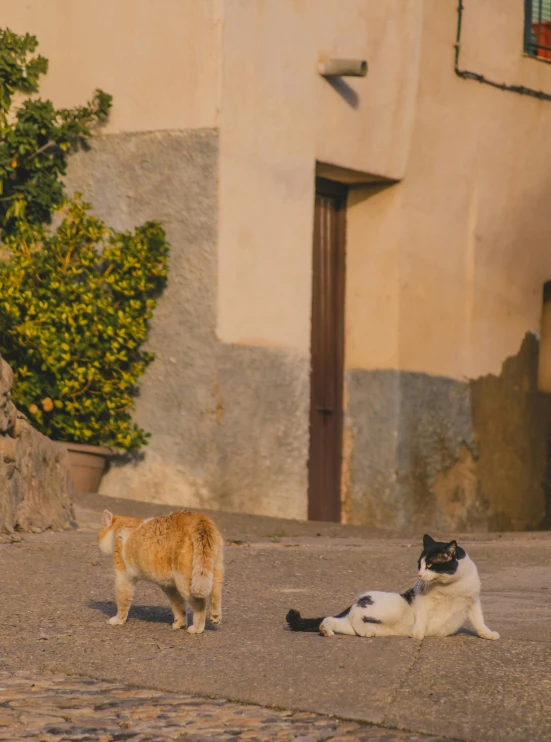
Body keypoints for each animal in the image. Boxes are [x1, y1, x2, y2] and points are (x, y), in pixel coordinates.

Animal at [288, 536, 500, 644]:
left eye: (430, 565)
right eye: (419, 564)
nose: (419, 575)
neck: (451, 587)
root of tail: (360, 598)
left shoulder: (473, 602)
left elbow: (479, 621)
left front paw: (487, 634)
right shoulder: (423, 601)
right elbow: (422, 618)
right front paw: (417, 634)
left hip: (350, 624)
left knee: (332, 619)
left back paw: (330, 630)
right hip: (387, 607)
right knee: (356, 611)